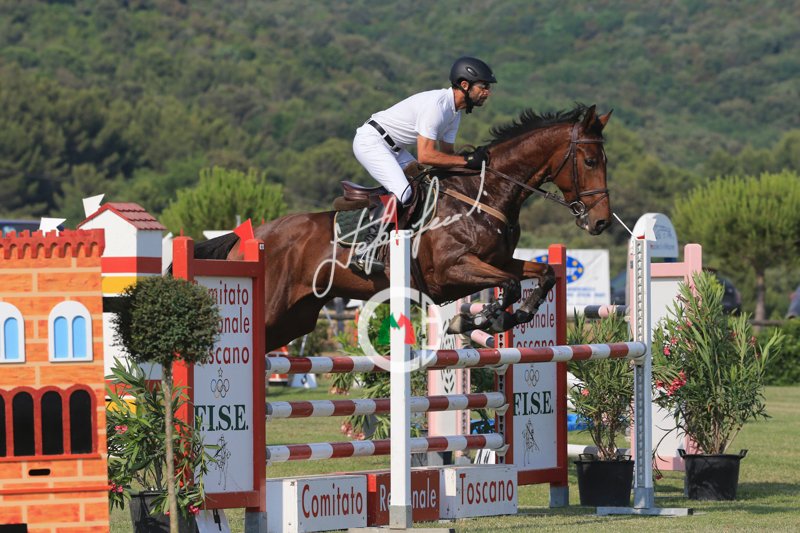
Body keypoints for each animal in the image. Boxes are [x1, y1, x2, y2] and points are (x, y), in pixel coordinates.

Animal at [195, 104, 612, 352]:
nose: (601, 221)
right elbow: (507, 285)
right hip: (271, 309)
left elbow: (543, 274)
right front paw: (476, 318)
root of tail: (249, 238)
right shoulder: (452, 271)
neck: (483, 195)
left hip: (294, 318)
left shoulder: (498, 261)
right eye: (590, 160)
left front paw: (516, 314)